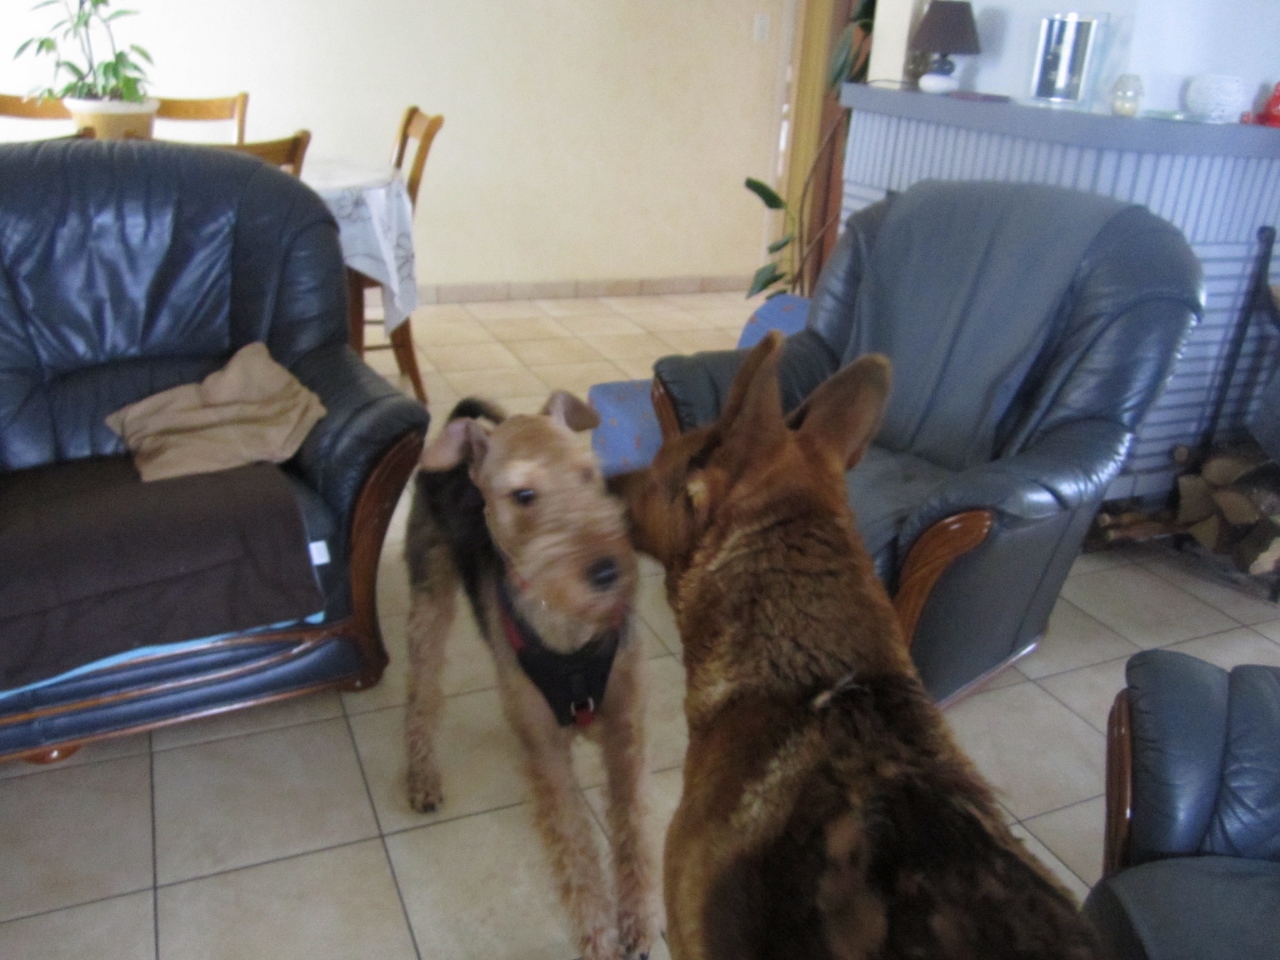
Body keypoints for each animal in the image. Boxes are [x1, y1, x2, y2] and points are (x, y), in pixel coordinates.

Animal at [403, 392, 659, 960]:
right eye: (523, 494)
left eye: (587, 473)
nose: (608, 572)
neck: (569, 630)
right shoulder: (548, 750)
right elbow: (576, 847)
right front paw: (599, 940)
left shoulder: (624, 725)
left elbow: (630, 825)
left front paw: (635, 922)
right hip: (429, 600)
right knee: (421, 697)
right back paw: (422, 779)